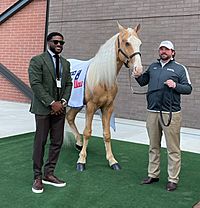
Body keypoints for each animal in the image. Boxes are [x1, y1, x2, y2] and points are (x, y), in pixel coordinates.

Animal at [66, 22, 142, 171]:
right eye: (126, 42)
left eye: (139, 43)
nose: (138, 69)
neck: (103, 77)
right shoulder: (91, 106)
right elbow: (87, 132)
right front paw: (81, 161)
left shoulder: (108, 107)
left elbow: (107, 134)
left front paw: (112, 161)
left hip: (76, 103)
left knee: (70, 117)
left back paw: (78, 143)